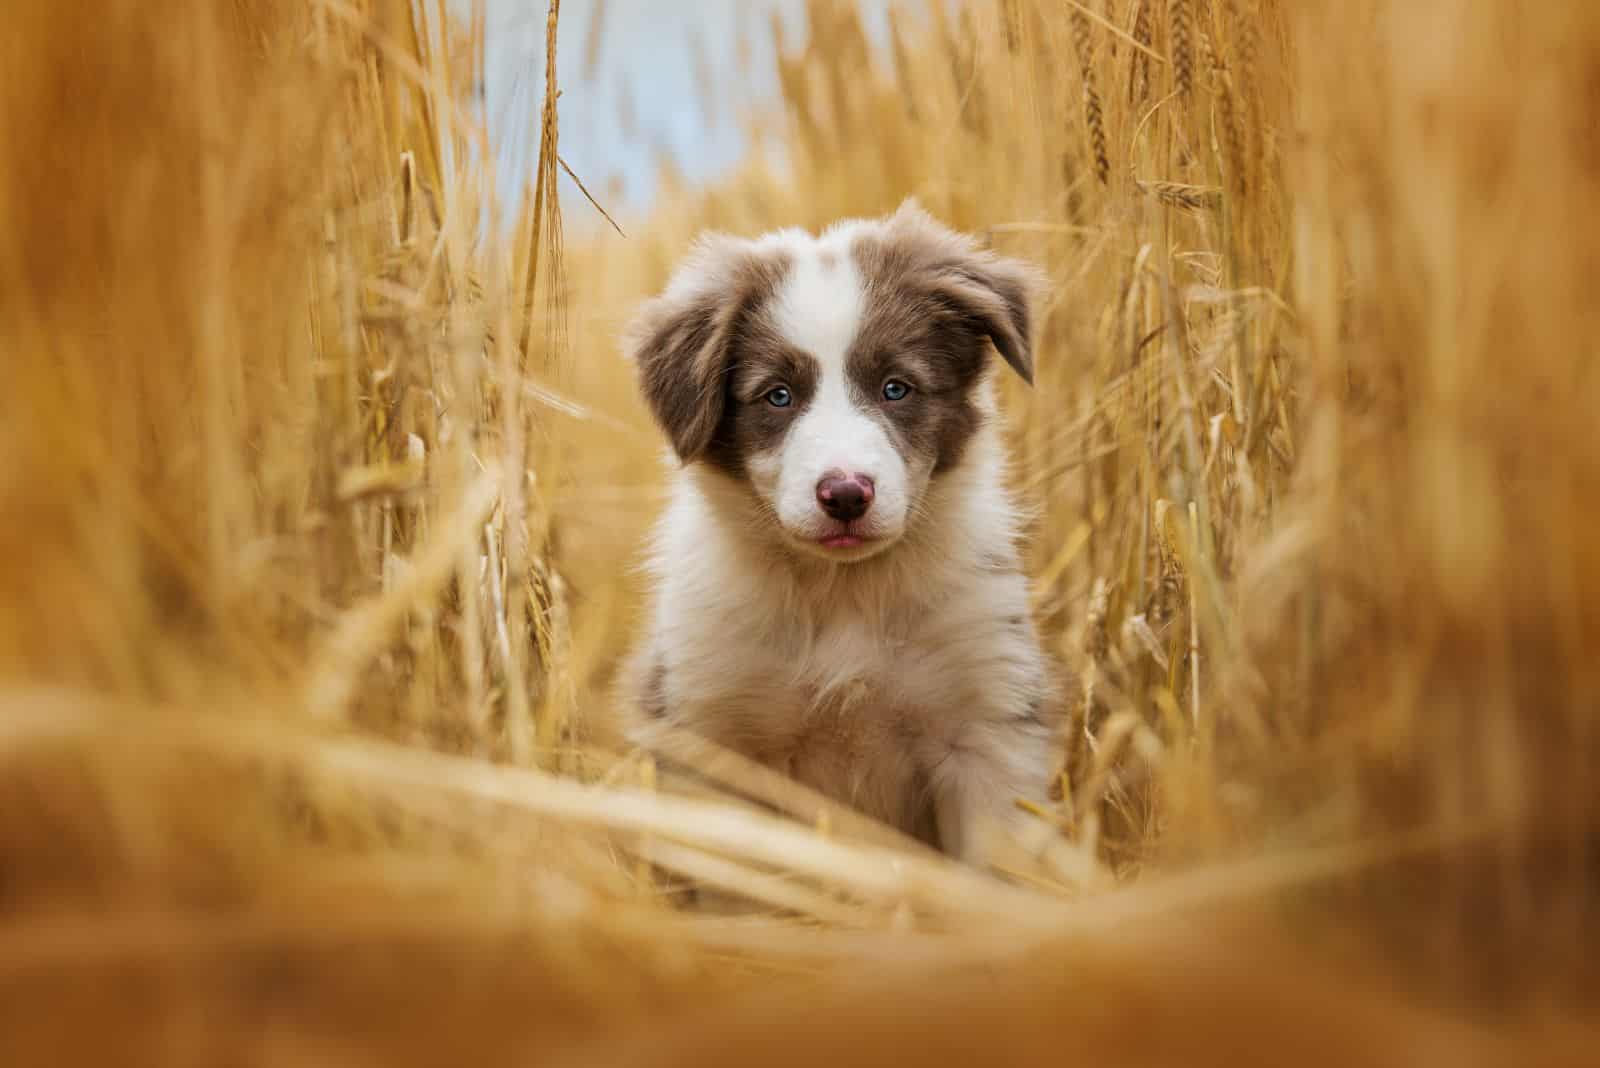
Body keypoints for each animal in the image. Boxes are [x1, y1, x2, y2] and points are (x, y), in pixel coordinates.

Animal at [617, 199, 1056, 863]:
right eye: (778, 396)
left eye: (896, 388)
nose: (846, 494)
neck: (842, 592)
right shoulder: (714, 732)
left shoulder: (985, 727)